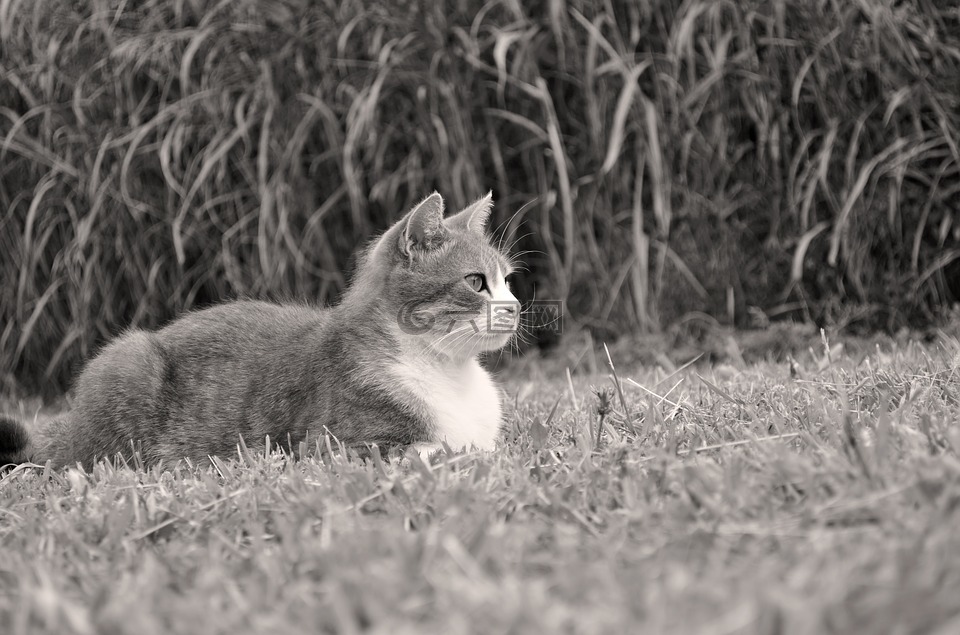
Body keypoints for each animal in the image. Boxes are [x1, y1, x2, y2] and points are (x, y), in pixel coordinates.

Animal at [0, 191, 520, 470]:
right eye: (477, 282)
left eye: (508, 281)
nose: (515, 308)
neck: (447, 371)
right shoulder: (334, 447)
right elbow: (443, 449)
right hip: (130, 359)